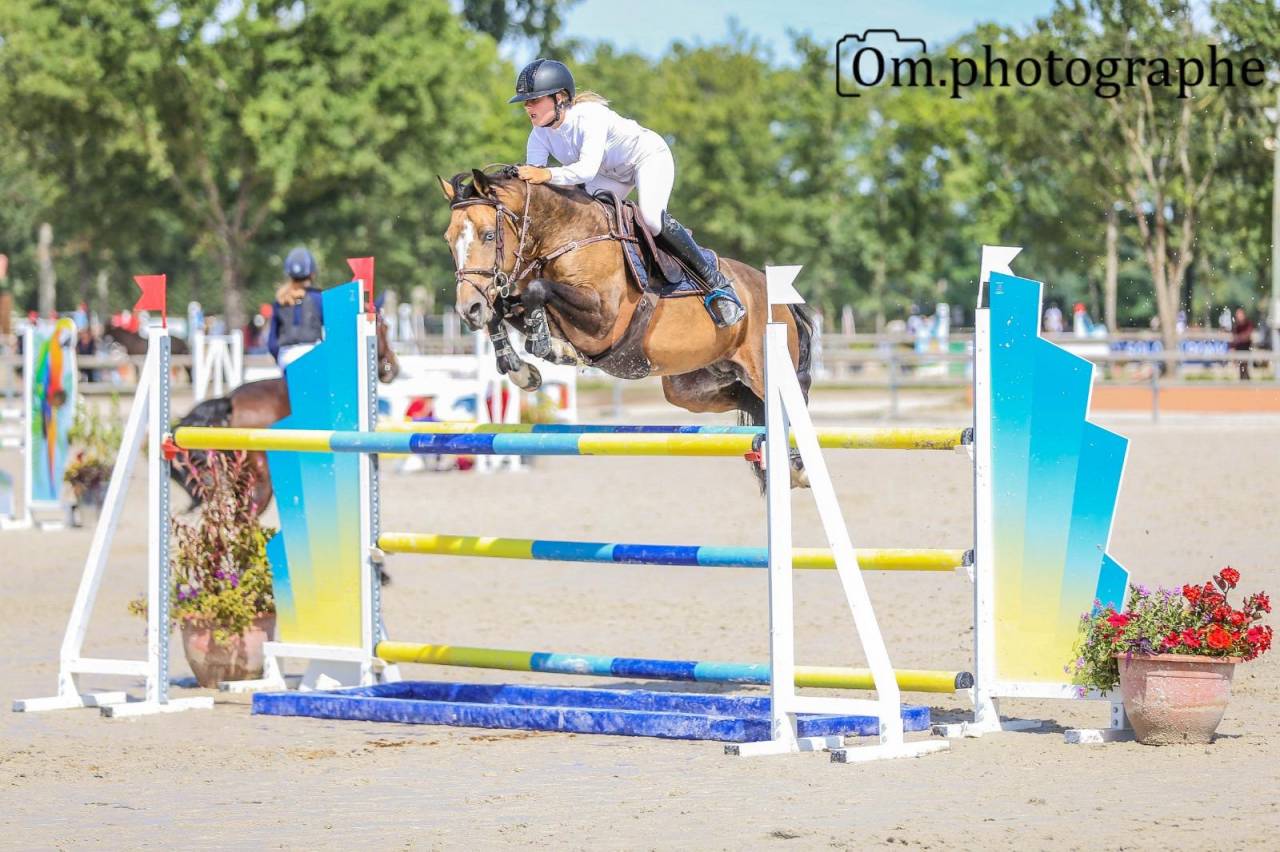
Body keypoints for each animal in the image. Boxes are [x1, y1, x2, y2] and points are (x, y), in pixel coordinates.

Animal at [439, 167, 814, 486]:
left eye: (489, 235)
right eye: (448, 239)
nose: (467, 309)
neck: (567, 239)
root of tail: (775, 294)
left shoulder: (603, 321)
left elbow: (537, 291)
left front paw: (550, 346)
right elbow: (502, 310)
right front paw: (522, 370)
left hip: (761, 369)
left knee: (789, 401)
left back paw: (797, 466)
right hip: (692, 387)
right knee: (749, 401)